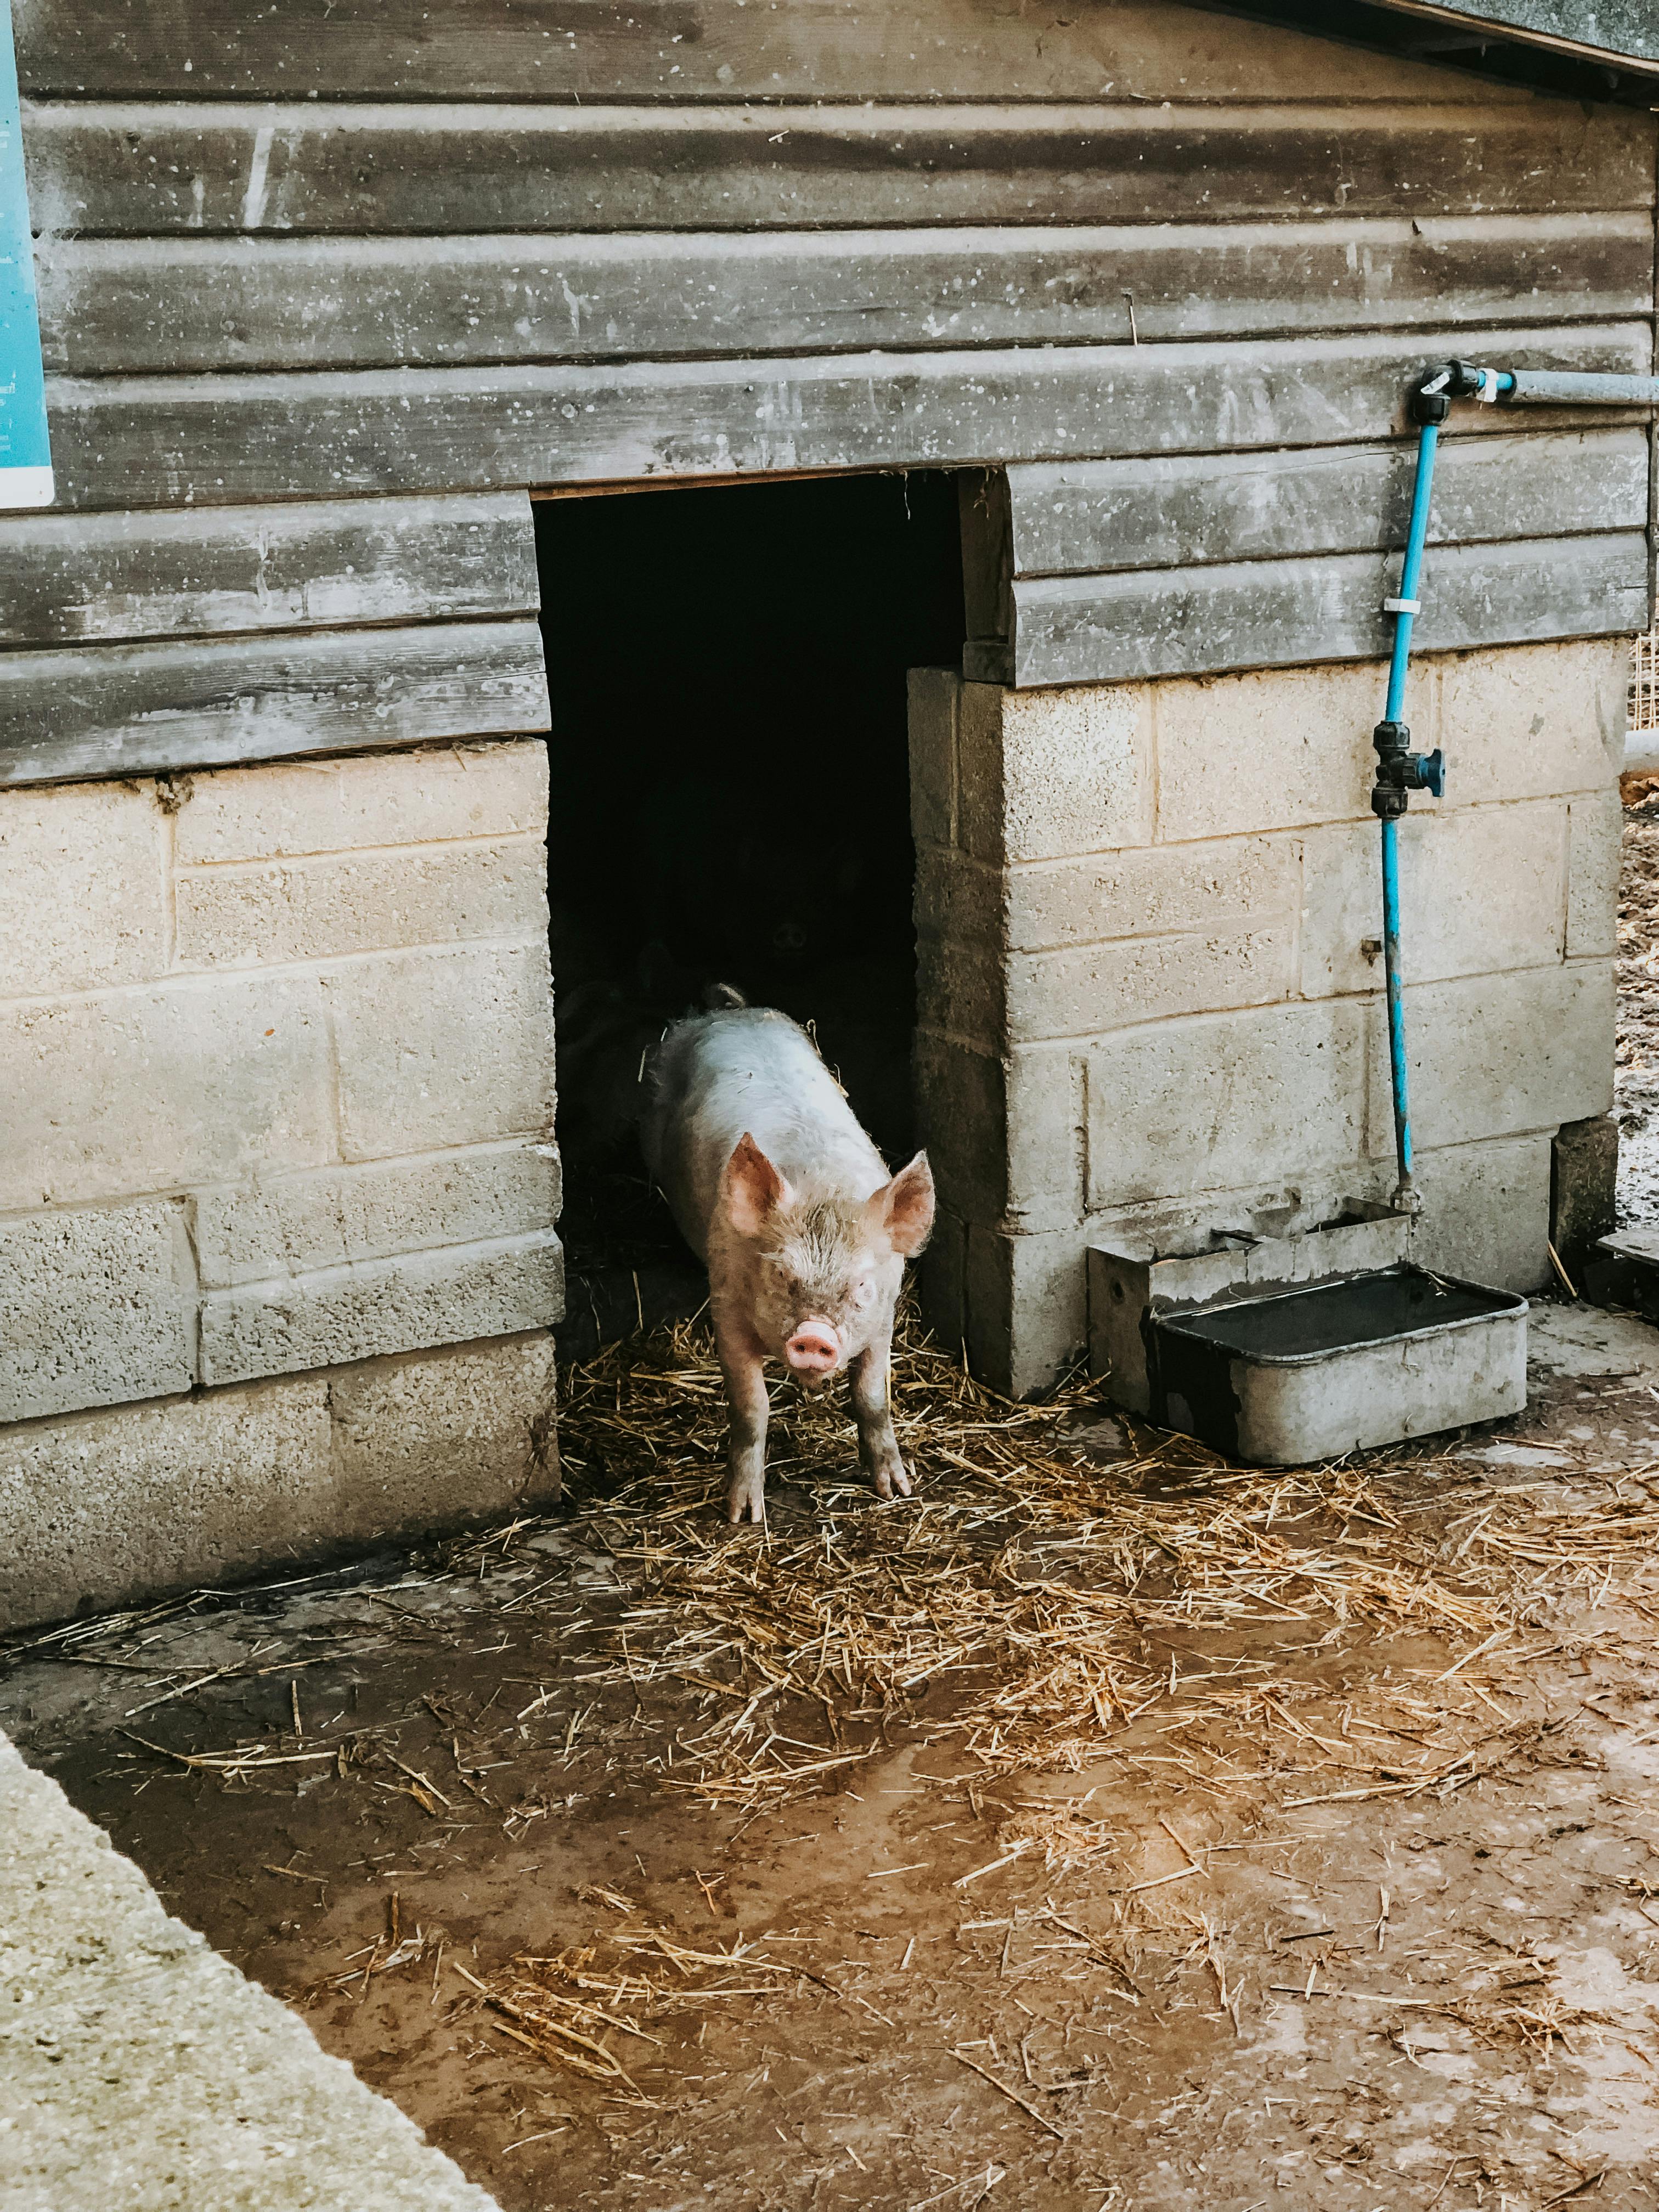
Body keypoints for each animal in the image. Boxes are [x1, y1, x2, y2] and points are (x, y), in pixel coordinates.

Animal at [641, 1000, 942, 1522]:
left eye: (861, 1285)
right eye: (781, 1274)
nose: (814, 1335)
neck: (824, 1188)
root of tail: (729, 1009)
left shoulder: (886, 1316)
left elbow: (872, 1397)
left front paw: (897, 1490)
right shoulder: (726, 1306)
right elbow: (751, 1406)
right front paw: (743, 1515)